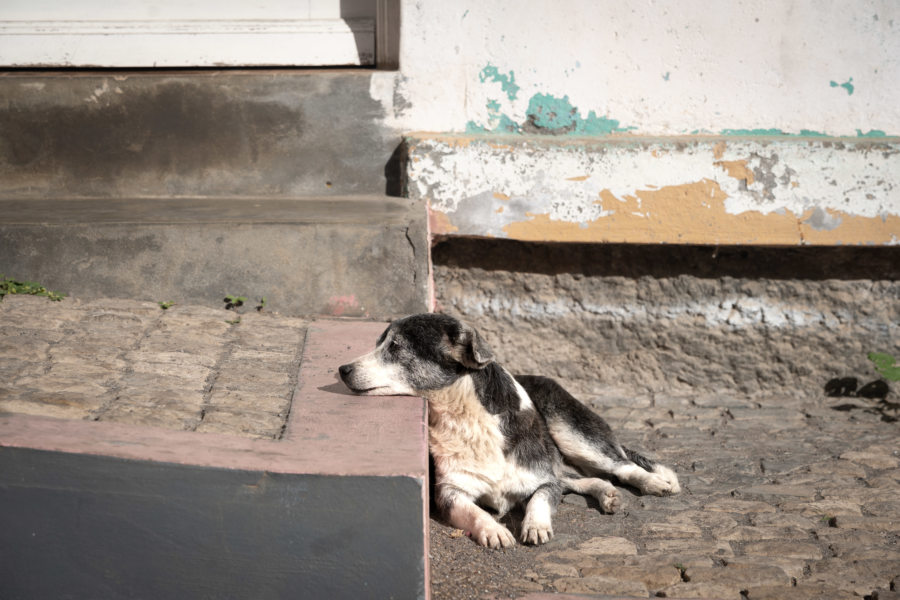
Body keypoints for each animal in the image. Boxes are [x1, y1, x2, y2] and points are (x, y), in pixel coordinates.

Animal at [340, 314, 684, 548]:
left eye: (395, 347)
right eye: (379, 344)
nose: (342, 369)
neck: (466, 416)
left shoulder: (543, 479)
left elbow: (539, 498)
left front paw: (535, 525)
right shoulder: (449, 492)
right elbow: (474, 511)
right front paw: (493, 529)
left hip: (571, 431)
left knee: (620, 465)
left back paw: (654, 483)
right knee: (582, 479)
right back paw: (606, 493)